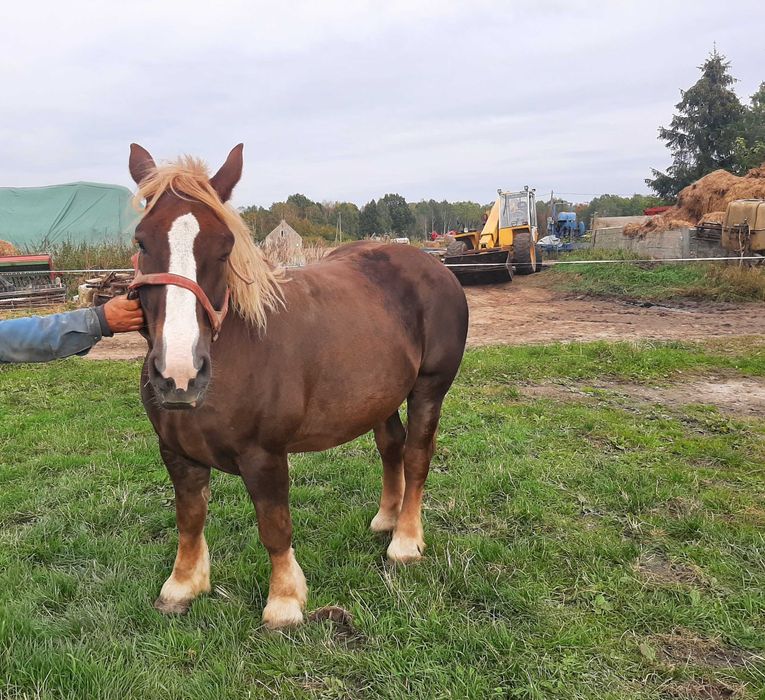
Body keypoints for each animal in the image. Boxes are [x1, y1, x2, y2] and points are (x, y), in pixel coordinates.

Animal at [128, 144, 468, 628]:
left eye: (225, 246)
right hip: (380, 395)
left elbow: (275, 527)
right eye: (141, 241)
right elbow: (189, 520)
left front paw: (285, 601)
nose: (179, 374)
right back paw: (387, 518)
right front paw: (183, 586)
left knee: (417, 455)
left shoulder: (265, 456)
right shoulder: (176, 453)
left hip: (429, 389)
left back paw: (404, 540)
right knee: (391, 446)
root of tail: (433, 265)